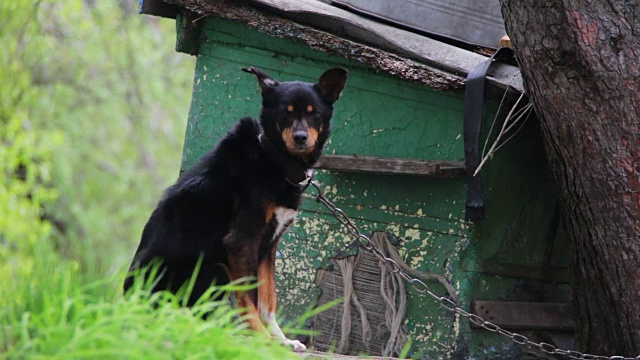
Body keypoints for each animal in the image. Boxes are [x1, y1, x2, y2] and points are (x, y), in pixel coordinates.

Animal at [123, 66, 348, 350]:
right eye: (285, 112)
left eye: (314, 112)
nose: (300, 138)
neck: (273, 159)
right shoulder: (242, 241)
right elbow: (248, 299)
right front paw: (263, 339)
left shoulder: (269, 244)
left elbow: (268, 299)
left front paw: (281, 340)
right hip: (214, 269)